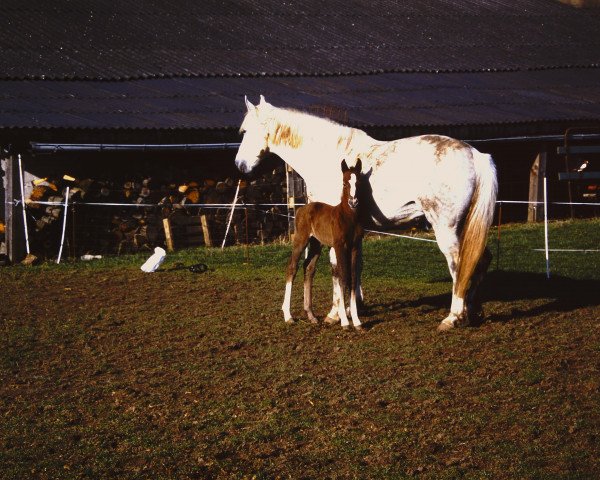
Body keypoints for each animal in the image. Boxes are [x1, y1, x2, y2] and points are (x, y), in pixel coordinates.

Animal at [234, 96, 496, 332]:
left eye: (244, 130)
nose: (239, 165)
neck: (328, 155)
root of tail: (475, 155)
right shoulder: (353, 233)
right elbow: (355, 268)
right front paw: (353, 308)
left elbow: (337, 269)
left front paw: (335, 314)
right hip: (465, 228)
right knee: (479, 260)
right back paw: (472, 312)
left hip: (446, 228)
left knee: (458, 265)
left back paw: (453, 317)